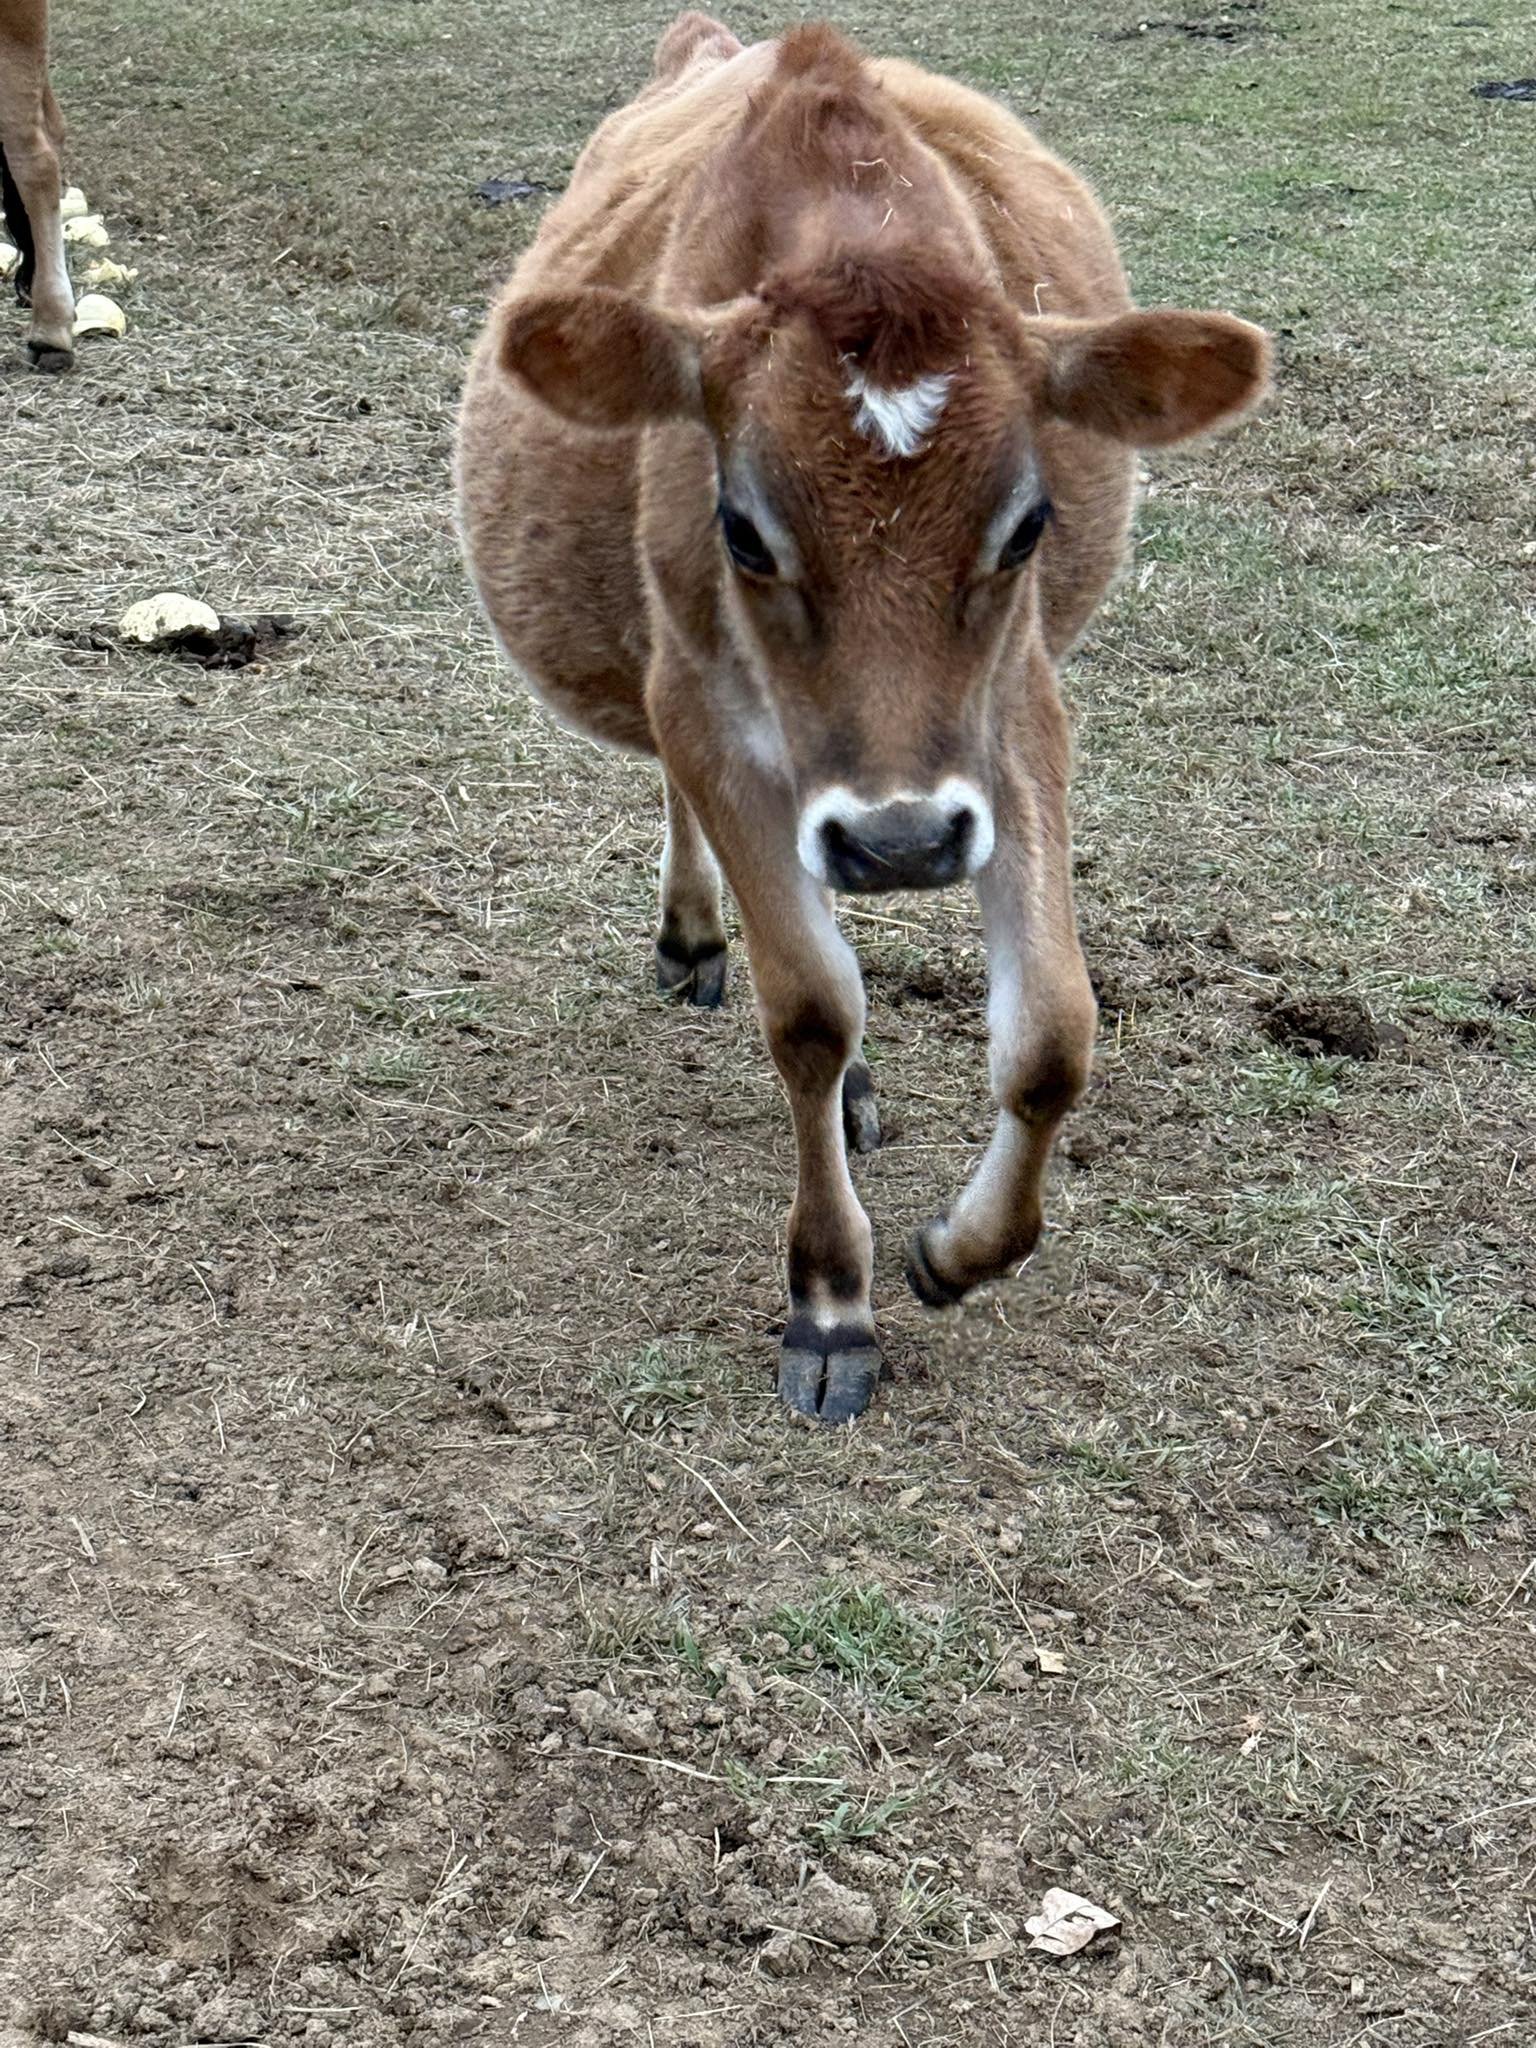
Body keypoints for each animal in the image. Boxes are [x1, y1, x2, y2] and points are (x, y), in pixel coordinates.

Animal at [456, 15, 1268, 1424]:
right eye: (743, 529)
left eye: (1028, 524)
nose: (901, 844)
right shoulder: (706, 705)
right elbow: (810, 1011)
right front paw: (832, 1297)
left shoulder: (1015, 709)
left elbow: (1053, 1030)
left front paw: (960, 1250)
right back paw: (698, 937)